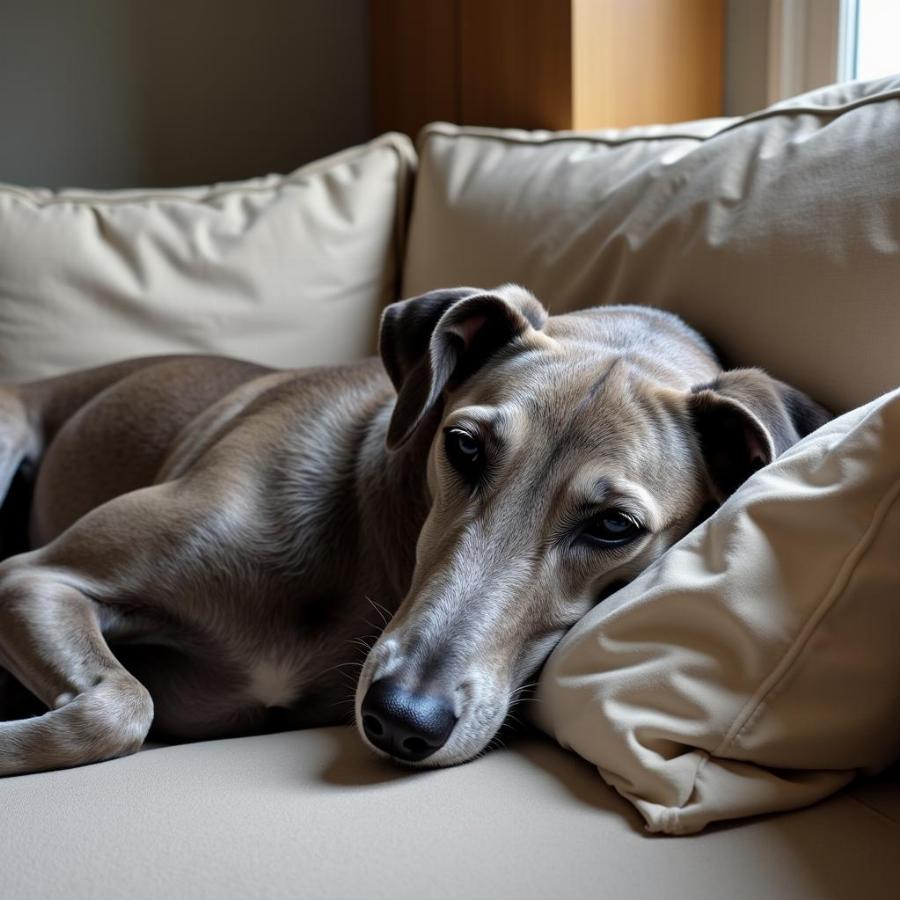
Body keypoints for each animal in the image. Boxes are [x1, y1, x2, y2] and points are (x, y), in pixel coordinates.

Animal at [0, 286, 828, 772]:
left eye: (614, 525)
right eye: (463, 446)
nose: (401, 721)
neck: (368, 540)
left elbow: (123, 706)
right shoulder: (33, 577)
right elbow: (122, 707)